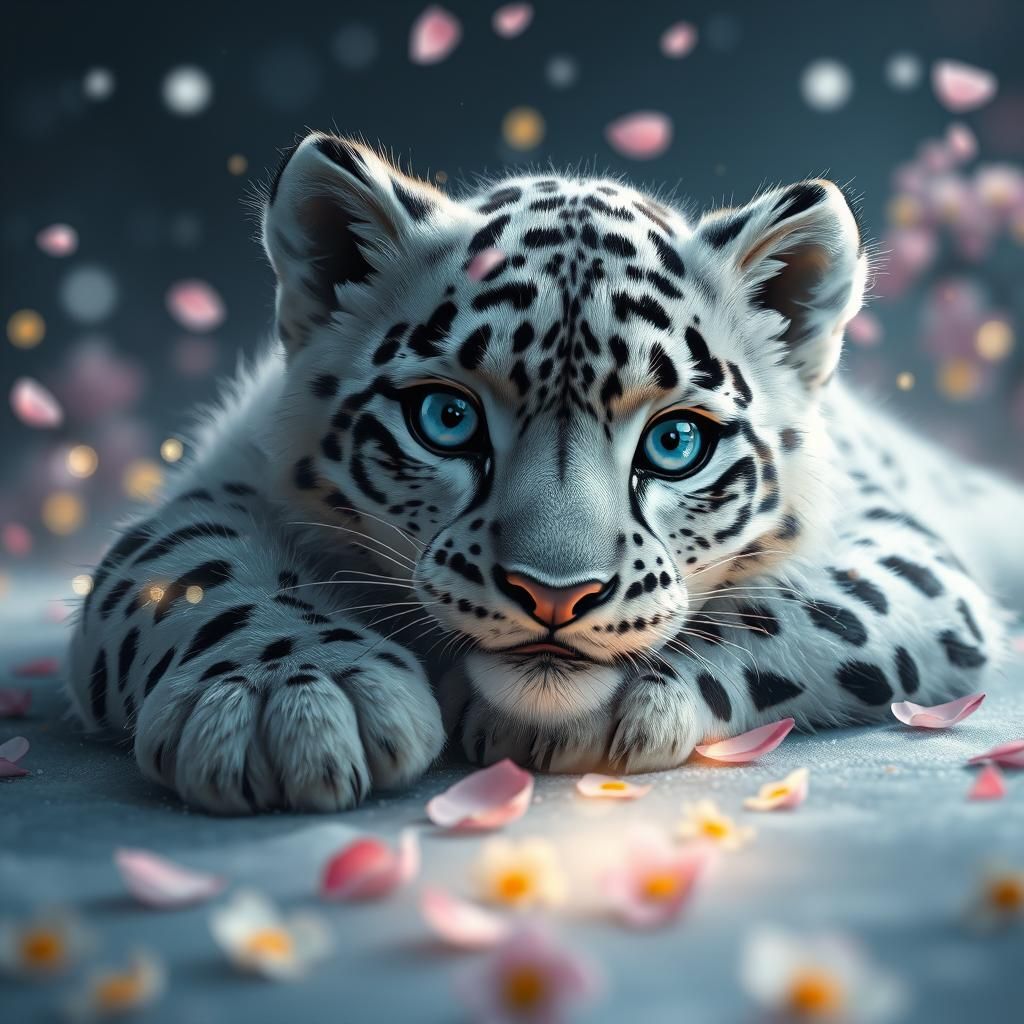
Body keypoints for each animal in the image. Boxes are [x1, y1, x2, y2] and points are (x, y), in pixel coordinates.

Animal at [67, 132, 1022, 814]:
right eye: (446, 418)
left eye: (677, 441)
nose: (556, 595)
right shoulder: (218, 479)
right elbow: (193, 564)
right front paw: (287, 701)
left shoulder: (903, 546)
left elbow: (807, 601)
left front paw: (607, 705)